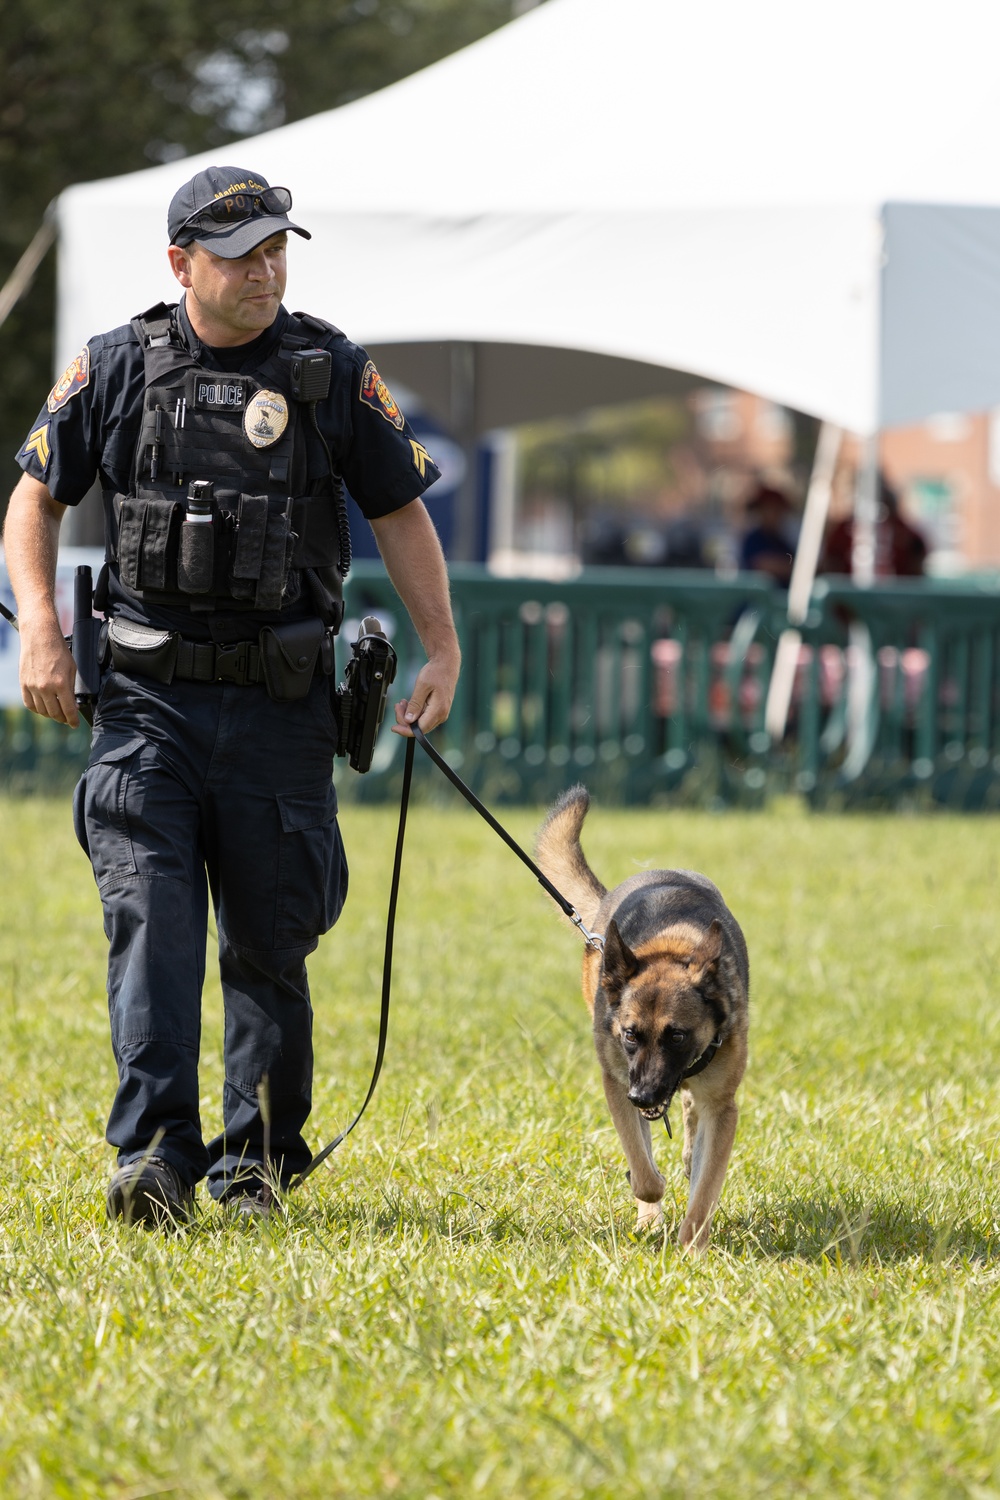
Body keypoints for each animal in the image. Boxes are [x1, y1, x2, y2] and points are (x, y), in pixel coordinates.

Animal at [536, 792, 746, 1248]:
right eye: (631, 1034)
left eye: (678, 1036)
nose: (644, 1097)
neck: (671, 946)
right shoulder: (617, 1083)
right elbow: (645, 1173)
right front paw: (651, 1197)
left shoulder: (722, 1107)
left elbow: (704, 1190)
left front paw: (691, 1248)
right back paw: (649, 1215)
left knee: (689, 1117)